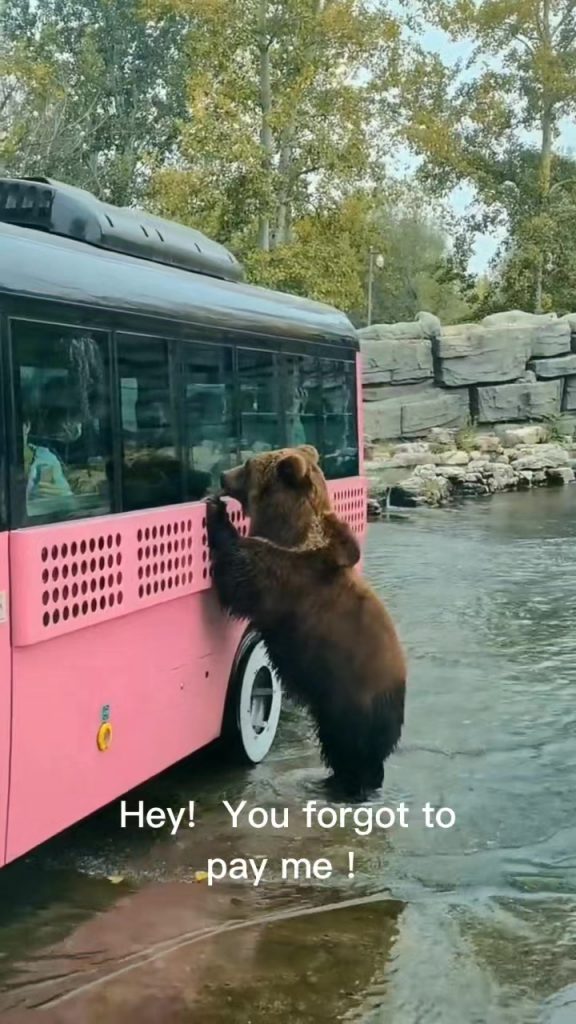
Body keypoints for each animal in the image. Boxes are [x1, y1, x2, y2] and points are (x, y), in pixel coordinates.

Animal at [205, 444, 406, 799]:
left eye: (248, 464)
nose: (223, 476)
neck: (291, 529)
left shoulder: (289, 577)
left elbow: (242, 573)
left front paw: (216, 512)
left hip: (352, 692)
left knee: (351, 744)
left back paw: (350, 784)